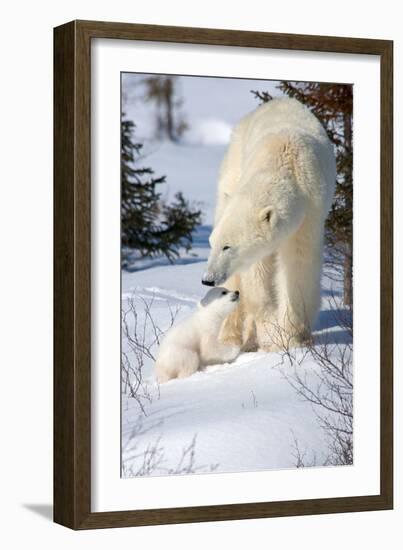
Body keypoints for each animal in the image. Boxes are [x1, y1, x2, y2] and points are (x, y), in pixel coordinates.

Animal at [202, 97, 338, 352]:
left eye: (227, 246)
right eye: (211, 243)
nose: (208, 278)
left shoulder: (310, 213)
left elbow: (298, 266)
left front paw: (291, 337)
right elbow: (257, 274)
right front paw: (271, 331)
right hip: (233, 165)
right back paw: (230, 337)